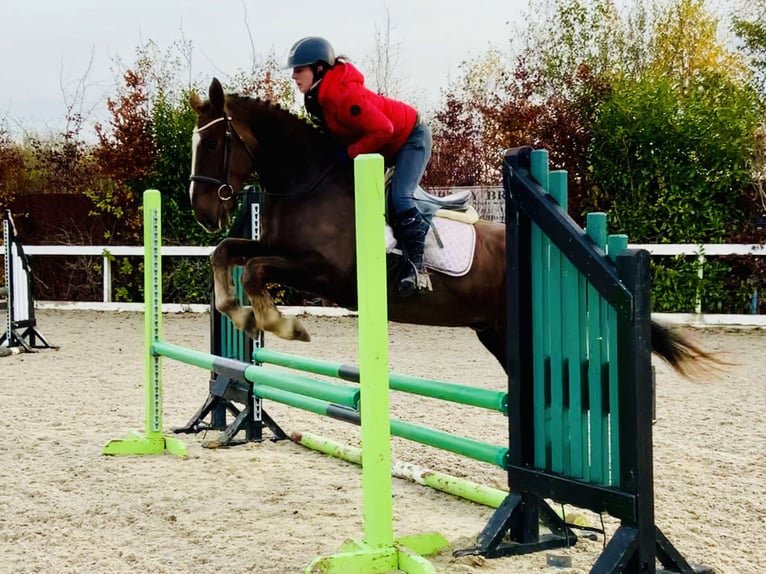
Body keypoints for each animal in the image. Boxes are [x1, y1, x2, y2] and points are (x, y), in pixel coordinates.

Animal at [189, 79, 716, 380]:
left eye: (213, 143)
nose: (202, 211)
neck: (308, 182)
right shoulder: (274, 244)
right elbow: (228, 254)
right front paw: (240, 313)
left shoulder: (325, 272)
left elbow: (255, 268)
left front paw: (282, 325)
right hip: (494, 332)